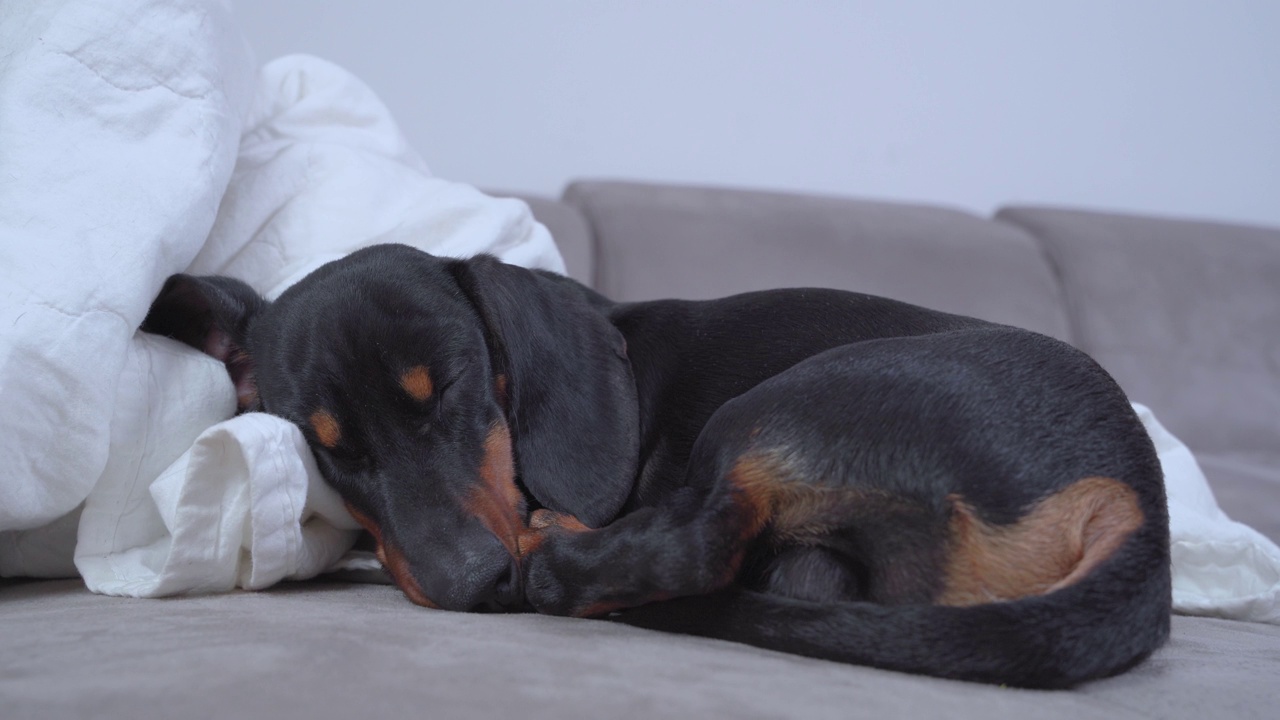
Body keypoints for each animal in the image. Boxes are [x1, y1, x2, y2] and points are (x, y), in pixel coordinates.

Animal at [142, 240, 1172, 681]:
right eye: (330, 452)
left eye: (461, 389)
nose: (474, 584)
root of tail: (1129, 500)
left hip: (779, 403)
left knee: (700, 544)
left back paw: (559, 557)